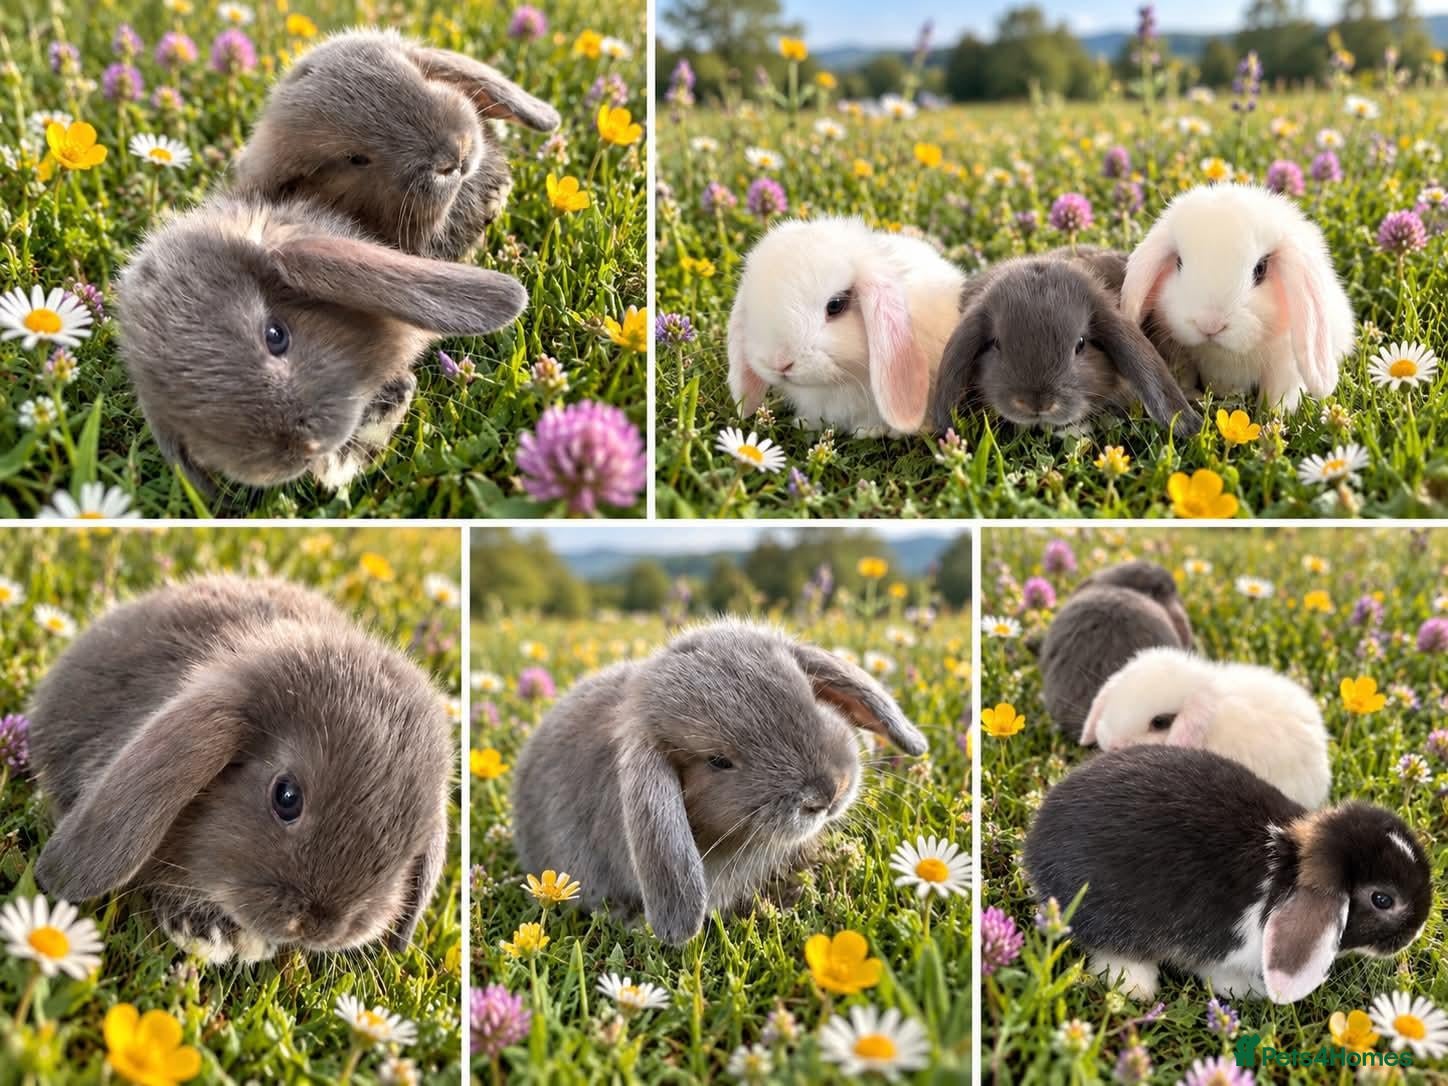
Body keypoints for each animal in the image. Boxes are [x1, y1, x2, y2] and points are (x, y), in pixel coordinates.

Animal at [1024, 746, 1431, 1003]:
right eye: (1382, 899)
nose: (1417, 931)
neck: (1286, 871)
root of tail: (1036, 845)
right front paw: (1251, 992)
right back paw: (1138, 987)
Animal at [1121, 183, 1355, 412]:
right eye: (1178, 263)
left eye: (1260, 269)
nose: (1210, 325)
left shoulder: (1285, 367)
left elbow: (1276, 398)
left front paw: (1270, 418)